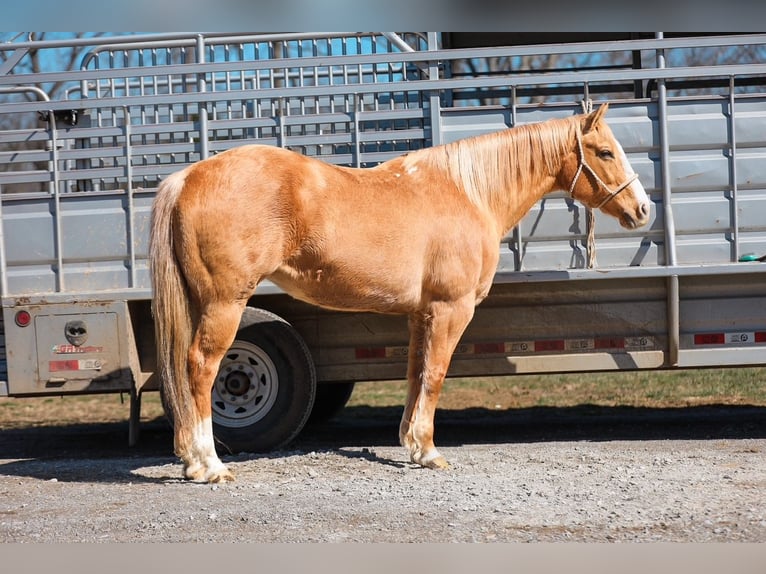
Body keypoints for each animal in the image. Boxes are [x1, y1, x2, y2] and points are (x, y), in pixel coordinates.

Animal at [150, 102, 650, 482]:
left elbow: (416, 373)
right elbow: (436, 374)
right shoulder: (451, 309)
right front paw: (428, 452)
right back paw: (209, 466)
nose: (643, 209)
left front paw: (411, 443)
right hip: (224, 305)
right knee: (202, 369)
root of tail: (188, 177)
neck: (469, 193)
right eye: (605, 152)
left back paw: (191, 460)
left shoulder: (420, 314)